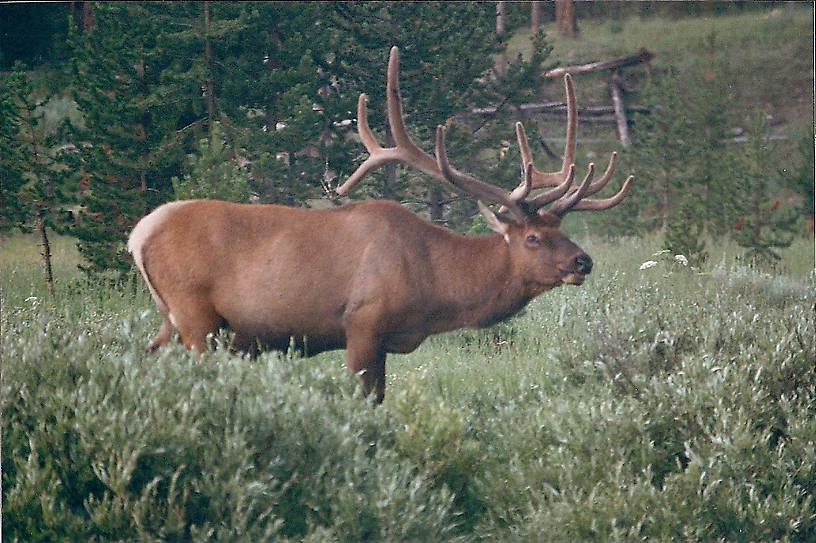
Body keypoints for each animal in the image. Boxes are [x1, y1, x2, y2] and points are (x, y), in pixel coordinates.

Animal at [129, 46, 636, 404]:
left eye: (561, 229)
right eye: (532, 237)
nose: (583, 261)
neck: (434, 284)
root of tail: (139, 234)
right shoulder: (362, 322)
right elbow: (365, 400)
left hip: (171, 317)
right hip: (196, 314)